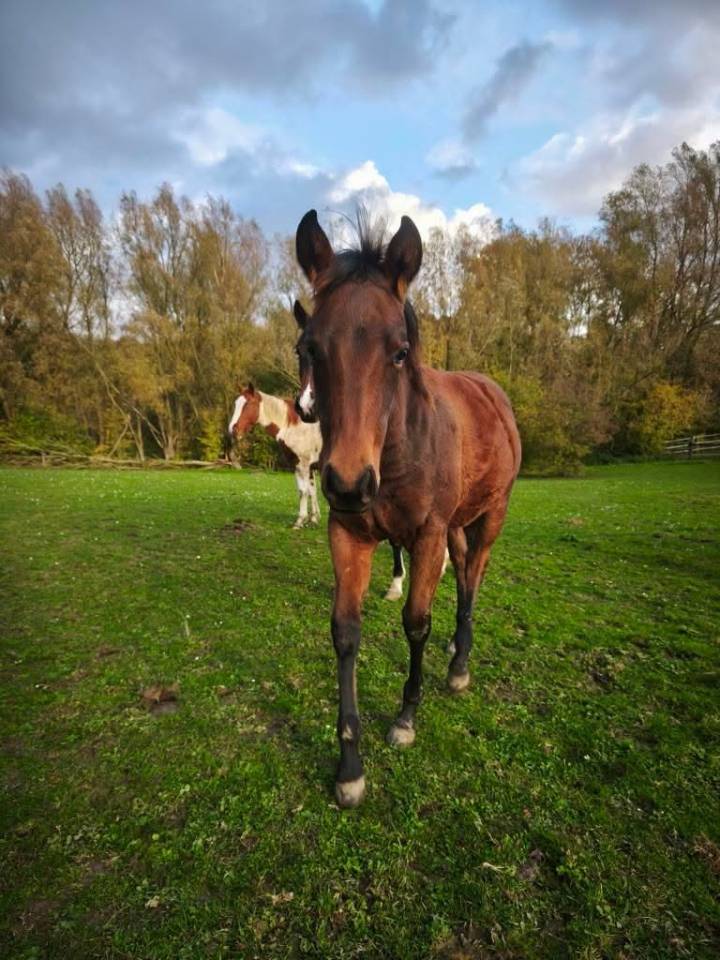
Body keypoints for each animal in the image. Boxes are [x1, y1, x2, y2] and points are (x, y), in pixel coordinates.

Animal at [293, 210, 521, 807]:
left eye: (398, 351)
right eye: (311, 348)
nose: (349, 483)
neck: (396, 452)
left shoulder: (427, 536)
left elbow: (416, 622)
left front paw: (404, 719)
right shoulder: (348, 534)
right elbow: (345, 632)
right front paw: (350, 767)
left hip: (489, 517)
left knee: (473, 578)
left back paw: (459, 665)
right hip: (459, 524)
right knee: (463, 571)